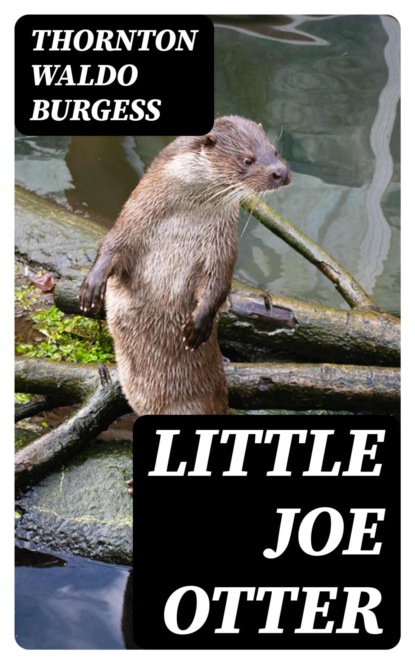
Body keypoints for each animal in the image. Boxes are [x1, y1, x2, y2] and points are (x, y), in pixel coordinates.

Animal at [78, 115, 290, 417]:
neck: (185, 218)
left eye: (274, 151)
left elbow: (218, 283)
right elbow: (111, 245)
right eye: (248, 159)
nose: (281, 172)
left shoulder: (220, 248)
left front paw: (199, 324)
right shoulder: (134, 216)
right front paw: (92, 287)